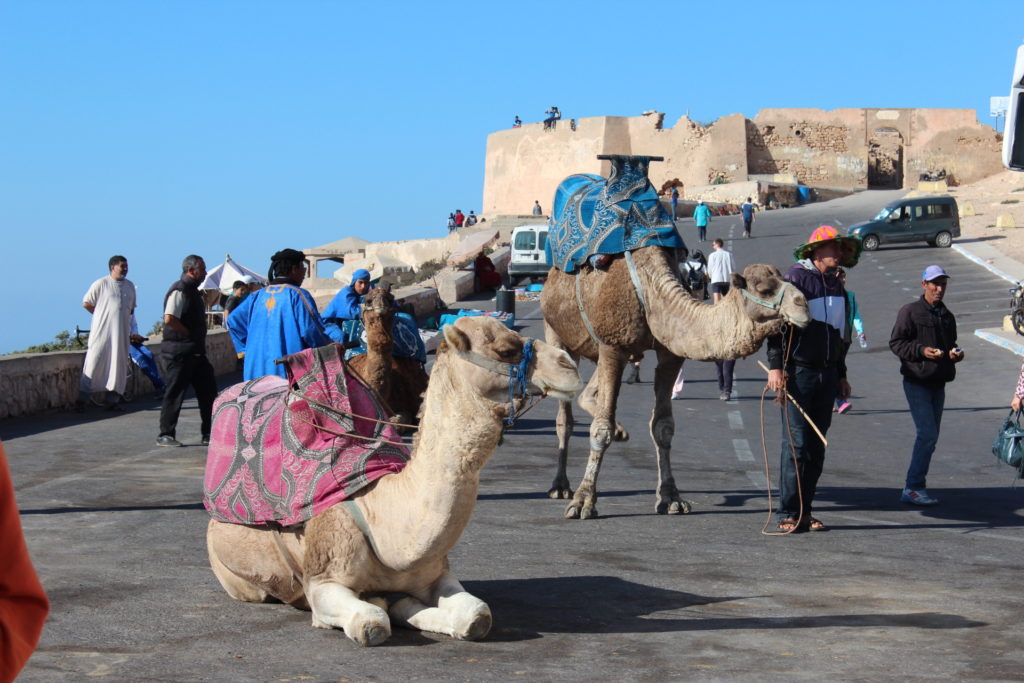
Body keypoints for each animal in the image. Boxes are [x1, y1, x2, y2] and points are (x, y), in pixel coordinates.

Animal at [540, 154, 811, 518]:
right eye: (765, 288)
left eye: (783, 278)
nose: (802, 304)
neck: (651, 288)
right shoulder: (613, 346)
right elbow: (600, 430)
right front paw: (584, 501)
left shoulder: (667, 353)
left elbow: (663, 427)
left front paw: (671, 497)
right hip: (556, 332)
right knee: (564, 417)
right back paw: (560, 485)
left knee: (589, 395)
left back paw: (616, 431)